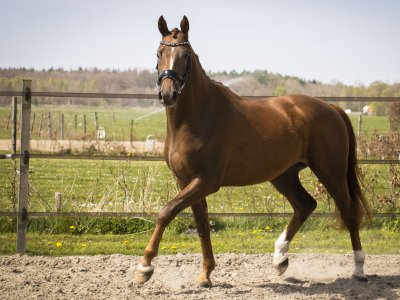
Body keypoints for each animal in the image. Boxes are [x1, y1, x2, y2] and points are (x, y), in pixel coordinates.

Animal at [136, 15, 370, 288]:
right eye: (159, 53)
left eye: (186, 55)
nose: (168, 94)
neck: (197, 118)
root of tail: (331, 108)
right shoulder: (185, 181)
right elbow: (202, 225)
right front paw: (205, 274)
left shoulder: (206, 182)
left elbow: (166, 212)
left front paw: (145, 267)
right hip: (283, 175)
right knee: (305, 205)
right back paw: (280, 258)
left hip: (331, 173)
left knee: (349, 212)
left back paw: (359, 269)